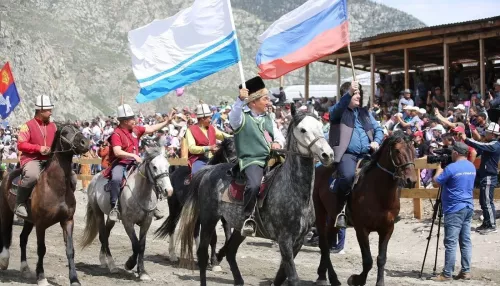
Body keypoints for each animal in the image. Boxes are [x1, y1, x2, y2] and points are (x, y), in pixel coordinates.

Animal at [0, 123, 89, 286]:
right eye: (65, 132)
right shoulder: (41, 224)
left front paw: (74, 279)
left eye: (77, 128)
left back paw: (25, 269)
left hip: (29, 221)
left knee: (22, 239)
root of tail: (8, 174)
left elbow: (70, 250)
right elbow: (41, 249)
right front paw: (41, 277)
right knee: (5, 233)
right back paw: (4, 260)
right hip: (6, 212)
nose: (85, 142)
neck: (54, 187)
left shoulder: (67, 221)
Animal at [82, 146, 174, 280]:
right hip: (98, 213)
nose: (169, 190)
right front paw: (129, 264)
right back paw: (112, 265)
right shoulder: (128, 222)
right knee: (103, 235)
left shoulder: (146, 222)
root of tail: (94, 179)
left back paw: (103, 260)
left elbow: (142, 246)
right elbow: (135, 245)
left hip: (111, 218)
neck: (141, 192)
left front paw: (142, 272)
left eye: (168, 166)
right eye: (154, 167)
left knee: (106, 234)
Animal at [178, 110, 334, 286]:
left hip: (239, 227)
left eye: (320, 126)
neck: (296, 193)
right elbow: (293, 277)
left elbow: (281, 275)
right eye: (303, 130)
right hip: (209, 219)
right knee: (203, 254)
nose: (327, 154)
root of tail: (209, 171)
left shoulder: (298, 241)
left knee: (230, 251)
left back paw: (239, 280)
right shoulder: (284, 239)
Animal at [314, 132, 416, 286]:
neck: (378, 193)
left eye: (413, 150)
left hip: (333, 218)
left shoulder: (387, 229)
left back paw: (329, 277)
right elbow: (368, 261)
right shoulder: (361, 229)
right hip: (320, 211)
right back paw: (324, 277)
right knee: (324, 244)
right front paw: (355, 279)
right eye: (397, 150)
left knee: (328, 241)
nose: (411, 181)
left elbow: (381, 258)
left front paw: (379, 283)